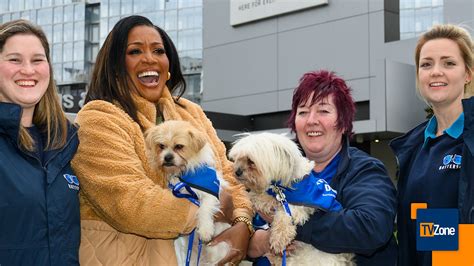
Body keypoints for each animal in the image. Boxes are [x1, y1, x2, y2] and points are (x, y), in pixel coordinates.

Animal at [146, 121, 231, 266]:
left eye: (179, 146)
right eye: (161, 146)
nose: (167, 157)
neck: (185, 174)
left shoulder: (211, 194)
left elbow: (204, 209)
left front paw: (205, 230)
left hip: (221, 248)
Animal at [228, 133, 354, 266]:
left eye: (251, 161)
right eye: (238, 159)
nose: (236, 171)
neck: (282, 185)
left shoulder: (298, 205)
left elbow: (284, 216)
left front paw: (279, 238)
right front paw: (255, 197)